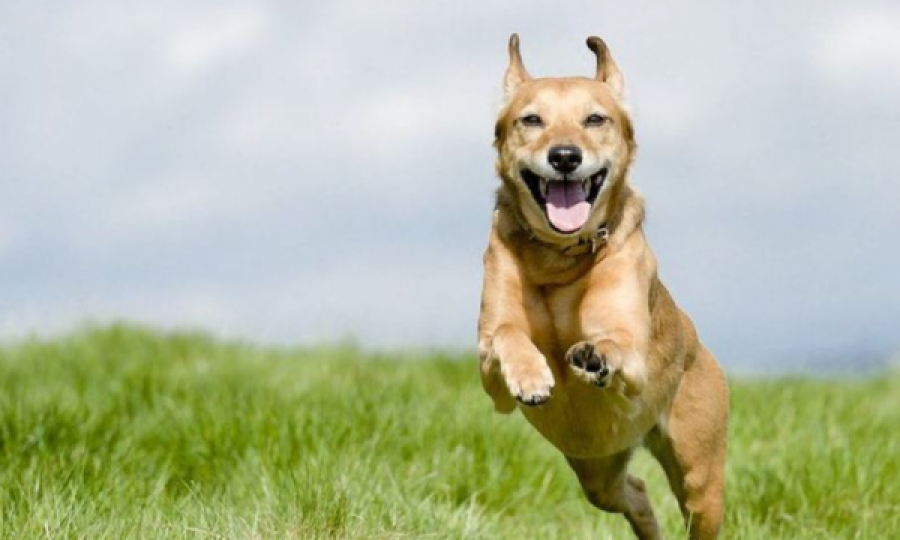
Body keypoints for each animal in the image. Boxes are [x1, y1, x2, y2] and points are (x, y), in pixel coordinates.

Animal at [478, 34, 732, 540]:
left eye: (595, 119)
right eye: (530, 119)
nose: (564, 156)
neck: (559, 256)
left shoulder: (631, 350)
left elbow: (617, 344)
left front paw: (593, 356)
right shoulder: (489, 376)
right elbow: (506, 333)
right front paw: (532, 376)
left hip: (699, 473)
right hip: (596, 461)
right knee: (632, 491)